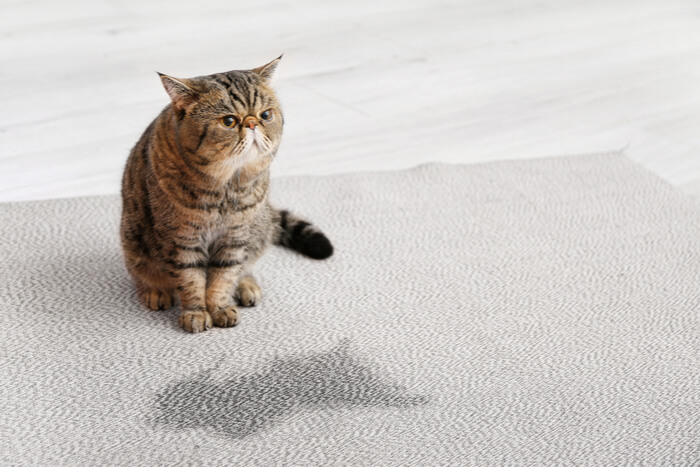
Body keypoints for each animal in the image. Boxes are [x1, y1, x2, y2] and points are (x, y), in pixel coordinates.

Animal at [119, 57, 334, 332]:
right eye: (229, 121)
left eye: (265, 115)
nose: (252, 123)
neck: (227, 187)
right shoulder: (184, 239)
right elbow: (191, 280)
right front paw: (196, 312)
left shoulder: (235, 236)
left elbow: (224, 276)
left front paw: (220, 307)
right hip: (132, 240)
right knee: (143, 274)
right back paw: (156, 291)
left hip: (260, 229)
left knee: (245, 267)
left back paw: (247, 286)